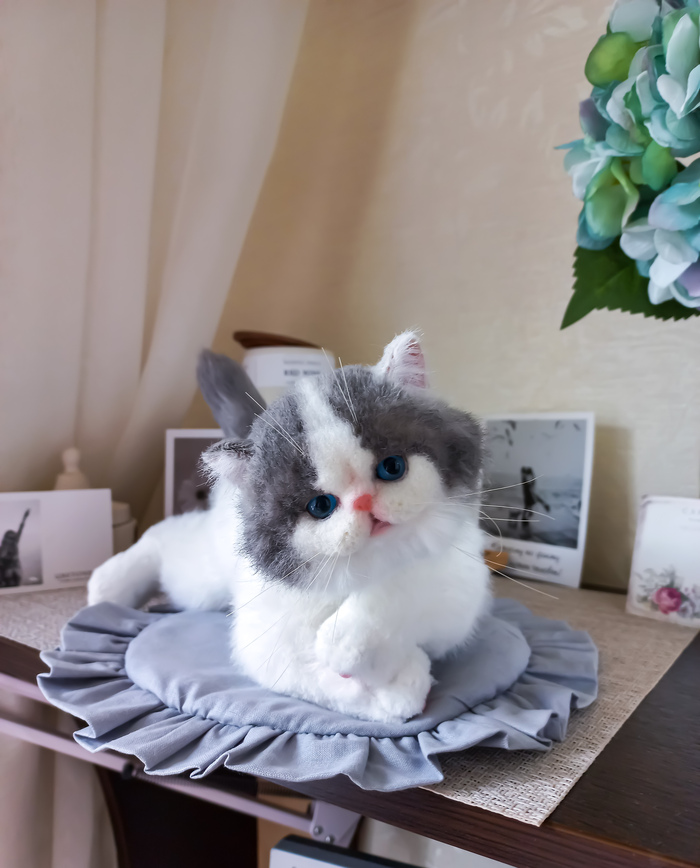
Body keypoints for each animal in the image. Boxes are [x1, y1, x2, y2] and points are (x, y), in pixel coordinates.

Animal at [88, 332, 491, 723]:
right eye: (321, 506)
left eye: (392, 467)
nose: (365, 504)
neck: (363, 570)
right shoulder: (265, 632)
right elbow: (300, 669)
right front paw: (383, 688)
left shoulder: (461, 578)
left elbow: (409, 583)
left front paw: (358, 649)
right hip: (205, 577)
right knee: (169, 537)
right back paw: (107, 584)